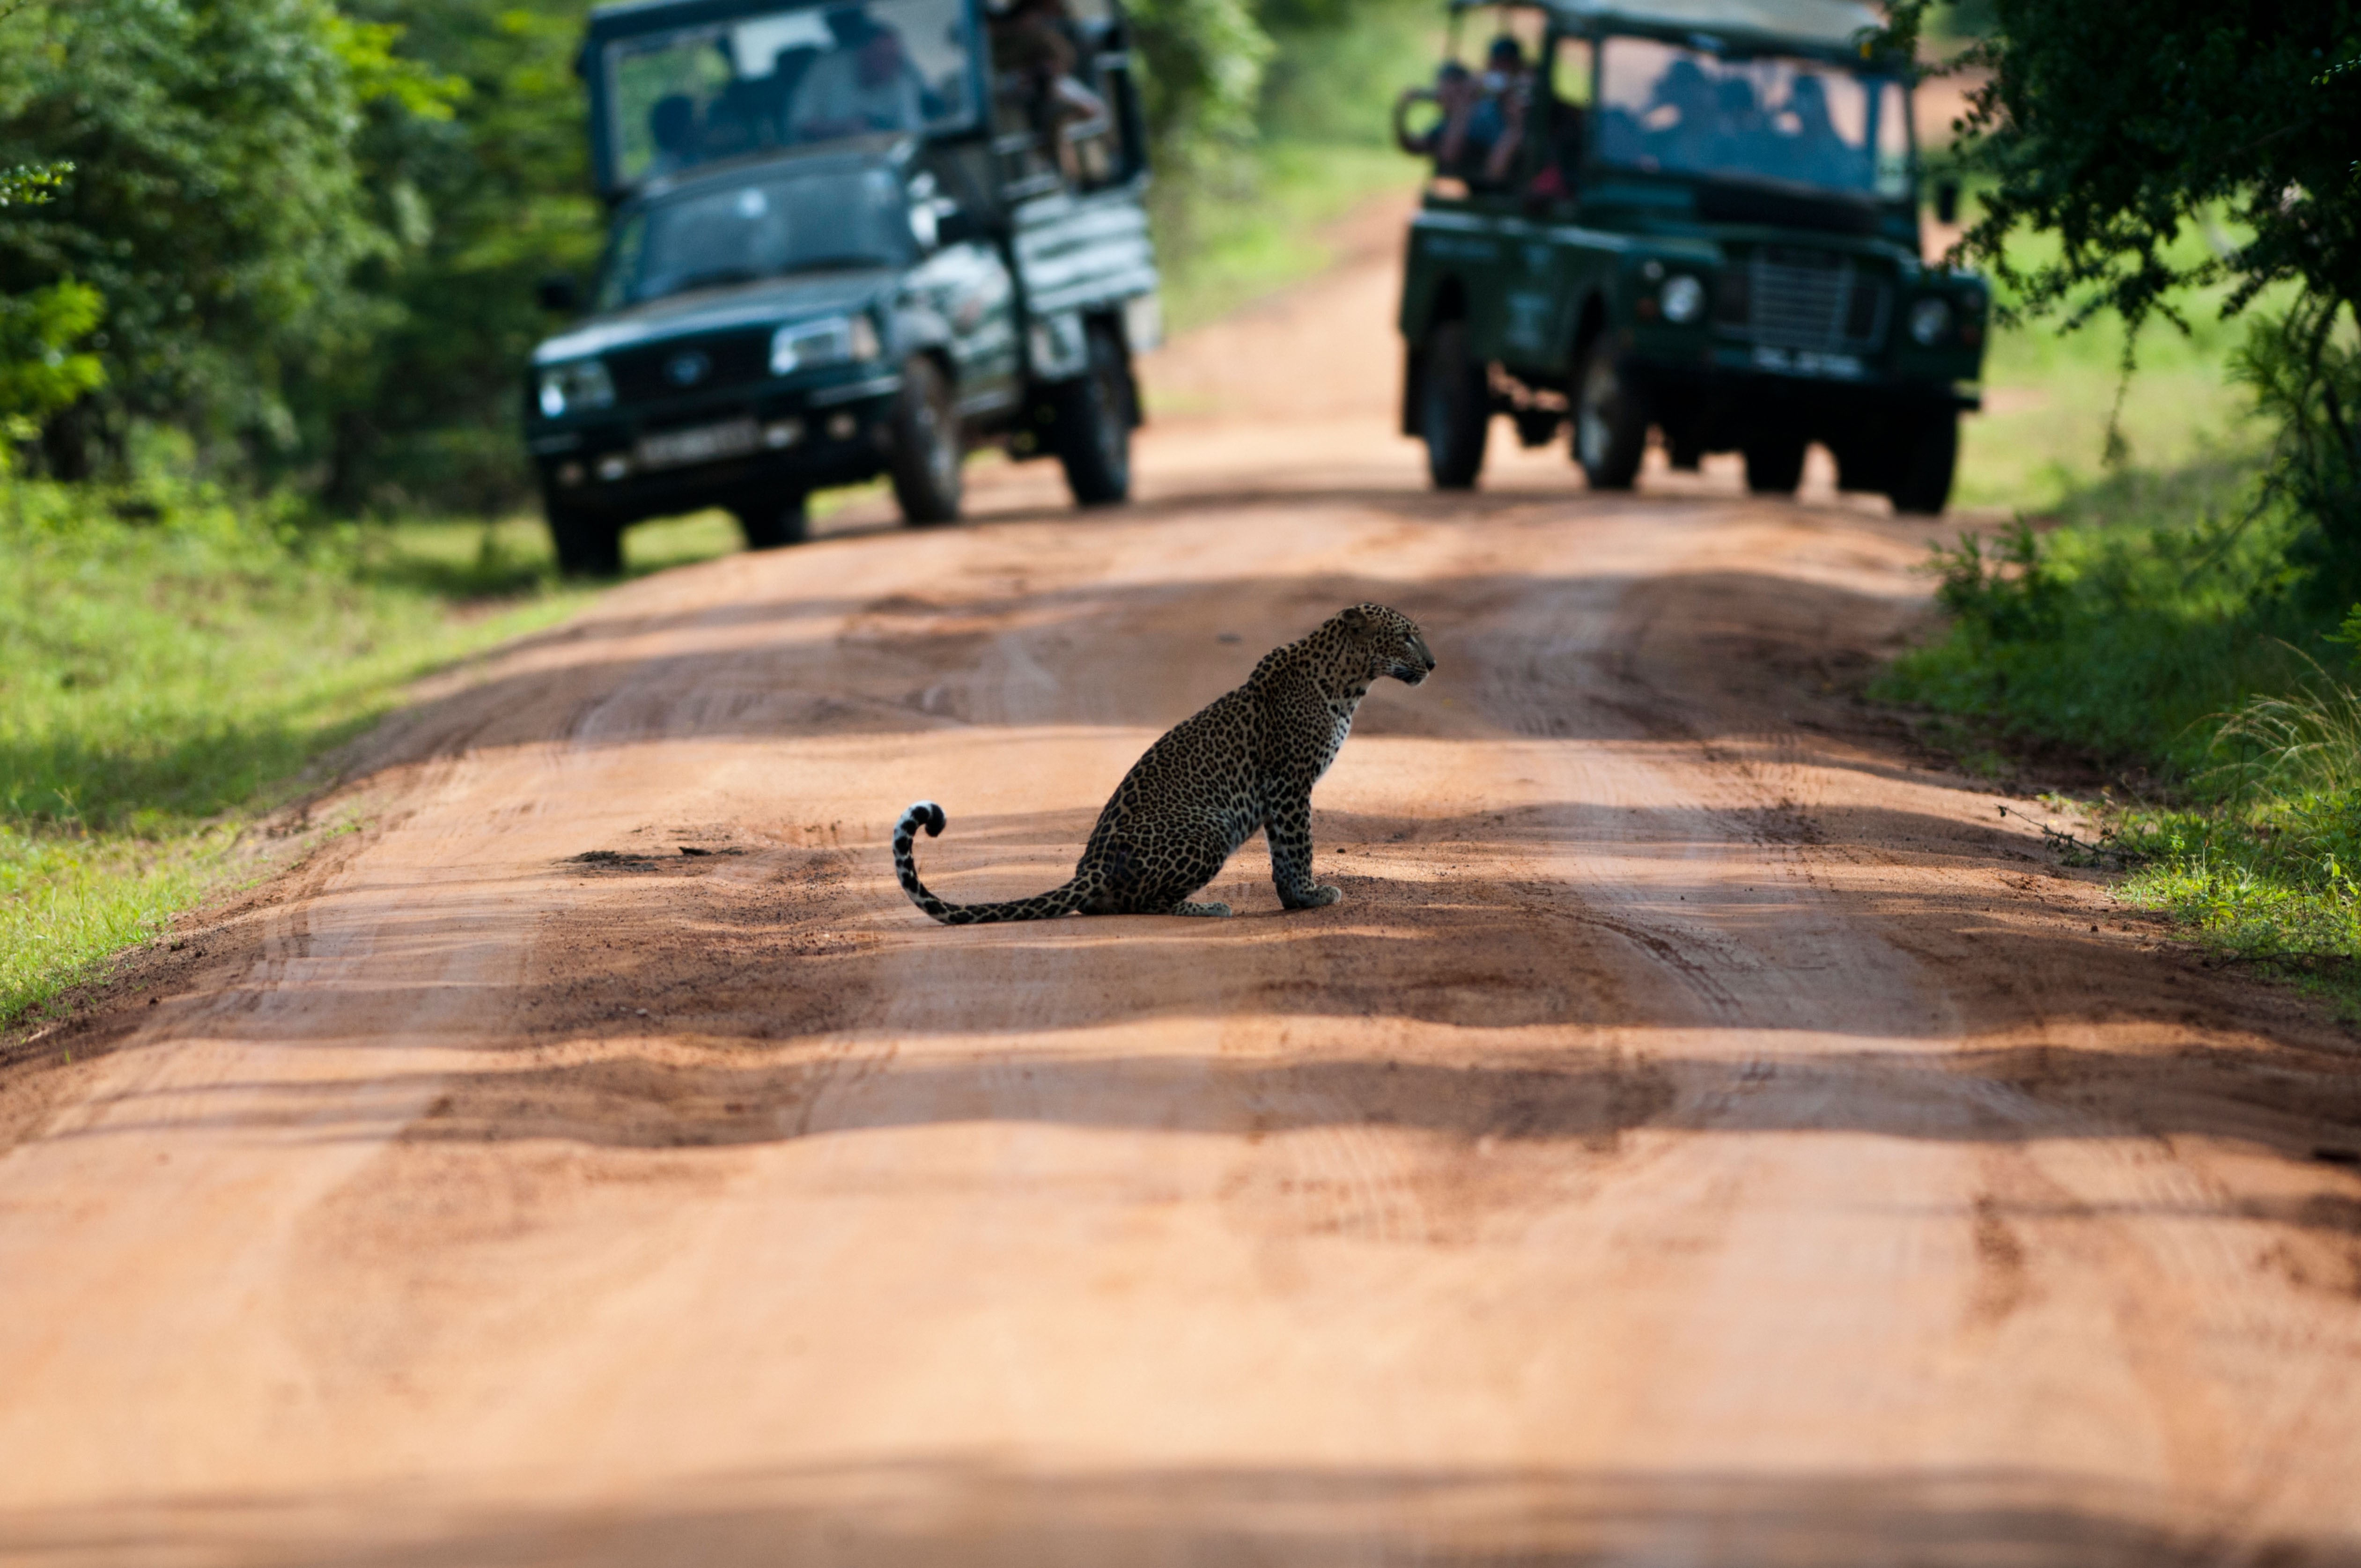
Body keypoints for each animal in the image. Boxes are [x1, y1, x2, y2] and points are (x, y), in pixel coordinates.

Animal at [887, 597, 1426, 921]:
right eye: (1406, 637)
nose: (1434, 663)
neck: (1350, 682)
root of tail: (1090, 869)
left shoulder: (1281, 789)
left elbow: (1282, 851)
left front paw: (1295, 899)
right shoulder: (1290, 781)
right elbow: (1298, 845)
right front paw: (1311, 896)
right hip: (1210, 827)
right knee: (1145, 902)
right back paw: (1206, 908)